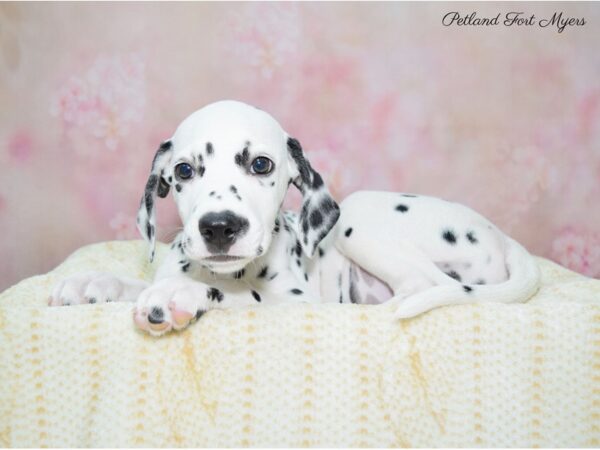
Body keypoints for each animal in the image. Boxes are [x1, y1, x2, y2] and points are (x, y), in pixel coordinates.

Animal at [49, 100, 540, 336]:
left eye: (261, 164)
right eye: (184, 171)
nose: (219, 227)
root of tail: (505, 239)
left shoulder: (296, 304)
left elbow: (236, 298)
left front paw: (181, 296)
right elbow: (138, 282)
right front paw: (91, 283)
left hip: (357, 215)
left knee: (426, 286)